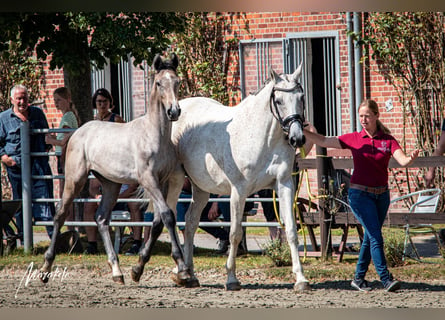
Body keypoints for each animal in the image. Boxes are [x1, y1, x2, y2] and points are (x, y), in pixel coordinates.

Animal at [42, 53, 193, 286]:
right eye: (159, 83)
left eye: (177, 81)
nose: (174, 111)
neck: (154, 136)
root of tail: (78, 132)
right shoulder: (148, 180)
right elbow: (168, 216)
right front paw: (183, 270)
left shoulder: (165, 182)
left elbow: (159, 221)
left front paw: (138, 269)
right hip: (75, 178)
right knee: (60, 213)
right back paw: (45, 268)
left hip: (110, 184)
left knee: (102, 218)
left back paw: (117, 271)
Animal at [133, 63, 308, 292]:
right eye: (278, 101)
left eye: (301, 97)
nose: (297, 138)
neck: (262, 137)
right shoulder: (239, 191)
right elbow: (235, 234)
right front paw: (231, 279)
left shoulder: (284, 185)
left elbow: (291, 231)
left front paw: (301, 279)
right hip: (174, 183)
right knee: (165, 217)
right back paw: (175, 272)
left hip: (200, 189)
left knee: (190, 222)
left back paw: (189, 274)